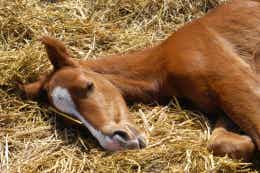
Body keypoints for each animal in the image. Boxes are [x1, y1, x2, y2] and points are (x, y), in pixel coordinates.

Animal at [19, 0, 260, 160]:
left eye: (88, 85)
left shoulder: (236, 85)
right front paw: (246, 144)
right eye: (71, 120)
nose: (116, 141)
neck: (164, 66)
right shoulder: (223, 103)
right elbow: (218, 142)